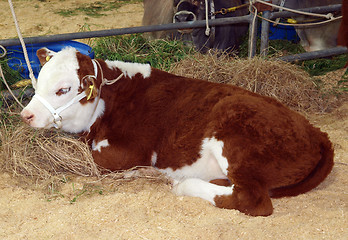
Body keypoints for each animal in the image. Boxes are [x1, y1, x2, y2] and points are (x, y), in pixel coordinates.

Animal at [21, 47, 334, 217]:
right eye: (38, 81)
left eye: (63, 89)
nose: (26, 115)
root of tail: (317, 133)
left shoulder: (126, 152)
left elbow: (97, 162)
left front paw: (139, 172)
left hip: (235, 133)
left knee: (252, 199)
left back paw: (182, 183)